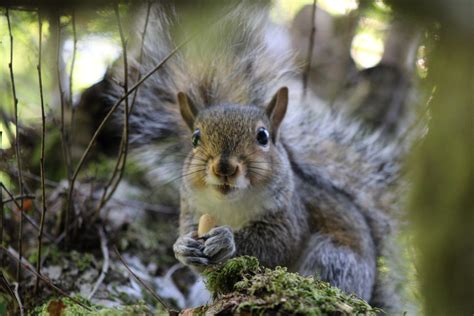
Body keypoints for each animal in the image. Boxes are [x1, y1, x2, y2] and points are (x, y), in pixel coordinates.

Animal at [102, 1, 410, 312]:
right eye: (195, 138)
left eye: (263, 136)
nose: (224, 167)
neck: (231, 205)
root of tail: (368, 292)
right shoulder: (191, 208)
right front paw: (183, 248)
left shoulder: (289, 214)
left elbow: (277, 243)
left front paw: (227, 241)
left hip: (336, 259)